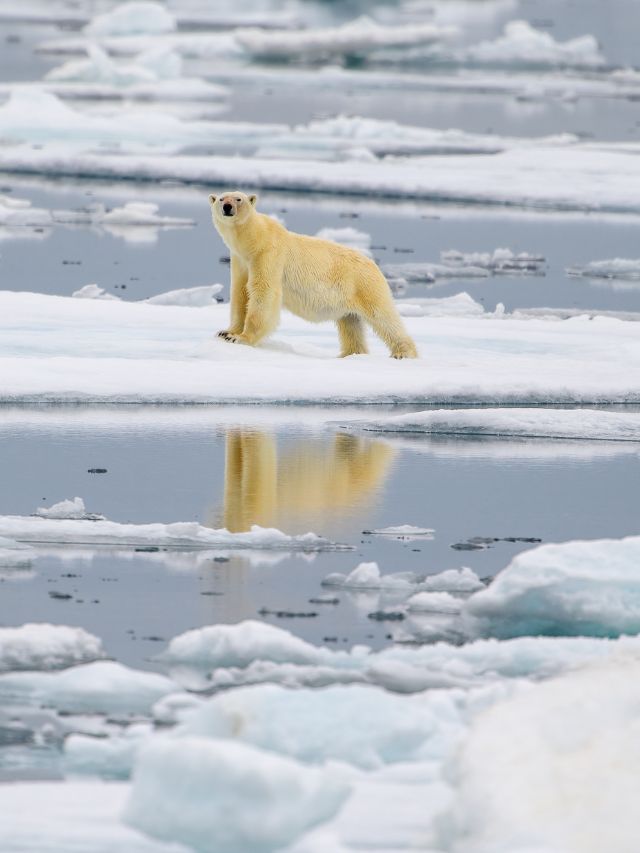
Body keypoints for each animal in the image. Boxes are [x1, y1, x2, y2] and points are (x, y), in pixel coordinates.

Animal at [210, 189, 418, 356]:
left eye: (238, 199)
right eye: (221, 198)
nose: (227, 206)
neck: (254, 240)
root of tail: (374, 265)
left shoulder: (268, 255)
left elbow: (263, 293)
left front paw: (242, 338)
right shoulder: (241, 260)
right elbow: (240, 293)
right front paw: (226, 332)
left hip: (365, 285)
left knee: (383, 317)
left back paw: (403, 353)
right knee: (351, 323)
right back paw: (350, 354)